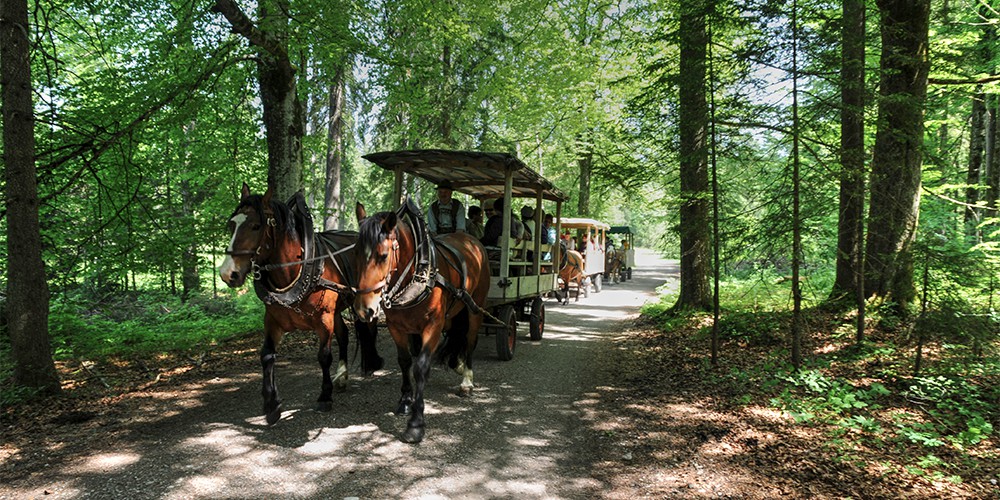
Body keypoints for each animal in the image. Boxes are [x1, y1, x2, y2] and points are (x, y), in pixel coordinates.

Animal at [219, 184, 382, 426]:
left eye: (256, 226)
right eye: (231, 224)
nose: (227, 273)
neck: (296, 270)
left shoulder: (323, 319)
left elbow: (324, 356)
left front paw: (325, 396)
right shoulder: (273, 321)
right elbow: (266, 355)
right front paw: (272, 405)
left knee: (369, 328)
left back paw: (373, 363)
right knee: (344, 336)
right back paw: (342, 376)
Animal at [354, 201, 490, 444]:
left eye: (383, 255)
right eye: (355, 254)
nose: (364, 309)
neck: (417, 273)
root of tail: (473, 241)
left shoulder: (433, 326)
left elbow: (420, 367)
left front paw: (416, 424)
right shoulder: (397, 327)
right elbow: (405, 361)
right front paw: (405, 401)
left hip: (476, 307)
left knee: (470, 340)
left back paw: (467, 380)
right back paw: (457, 364)